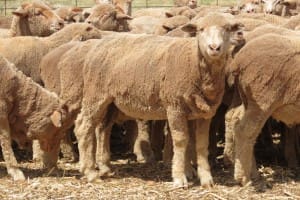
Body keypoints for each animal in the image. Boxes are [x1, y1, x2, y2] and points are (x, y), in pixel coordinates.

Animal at [224, 32, 300, 185]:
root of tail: (239, 59)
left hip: (246, 99)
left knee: (236, 119)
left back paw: (252, 173)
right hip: (262, 100)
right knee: (245, 131)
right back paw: (243, 177)